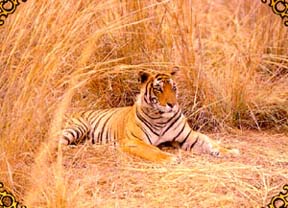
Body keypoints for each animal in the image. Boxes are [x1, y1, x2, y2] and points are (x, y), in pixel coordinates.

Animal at [59, 68, 240, 162]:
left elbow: (210, 142)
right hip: (78, 126)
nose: (172, 104)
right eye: (159, 89)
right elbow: (152, 150)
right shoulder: (133, 141)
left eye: (173, 88)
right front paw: (170, 158)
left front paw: (229, 151)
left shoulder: (189, 136)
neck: (161, 118)